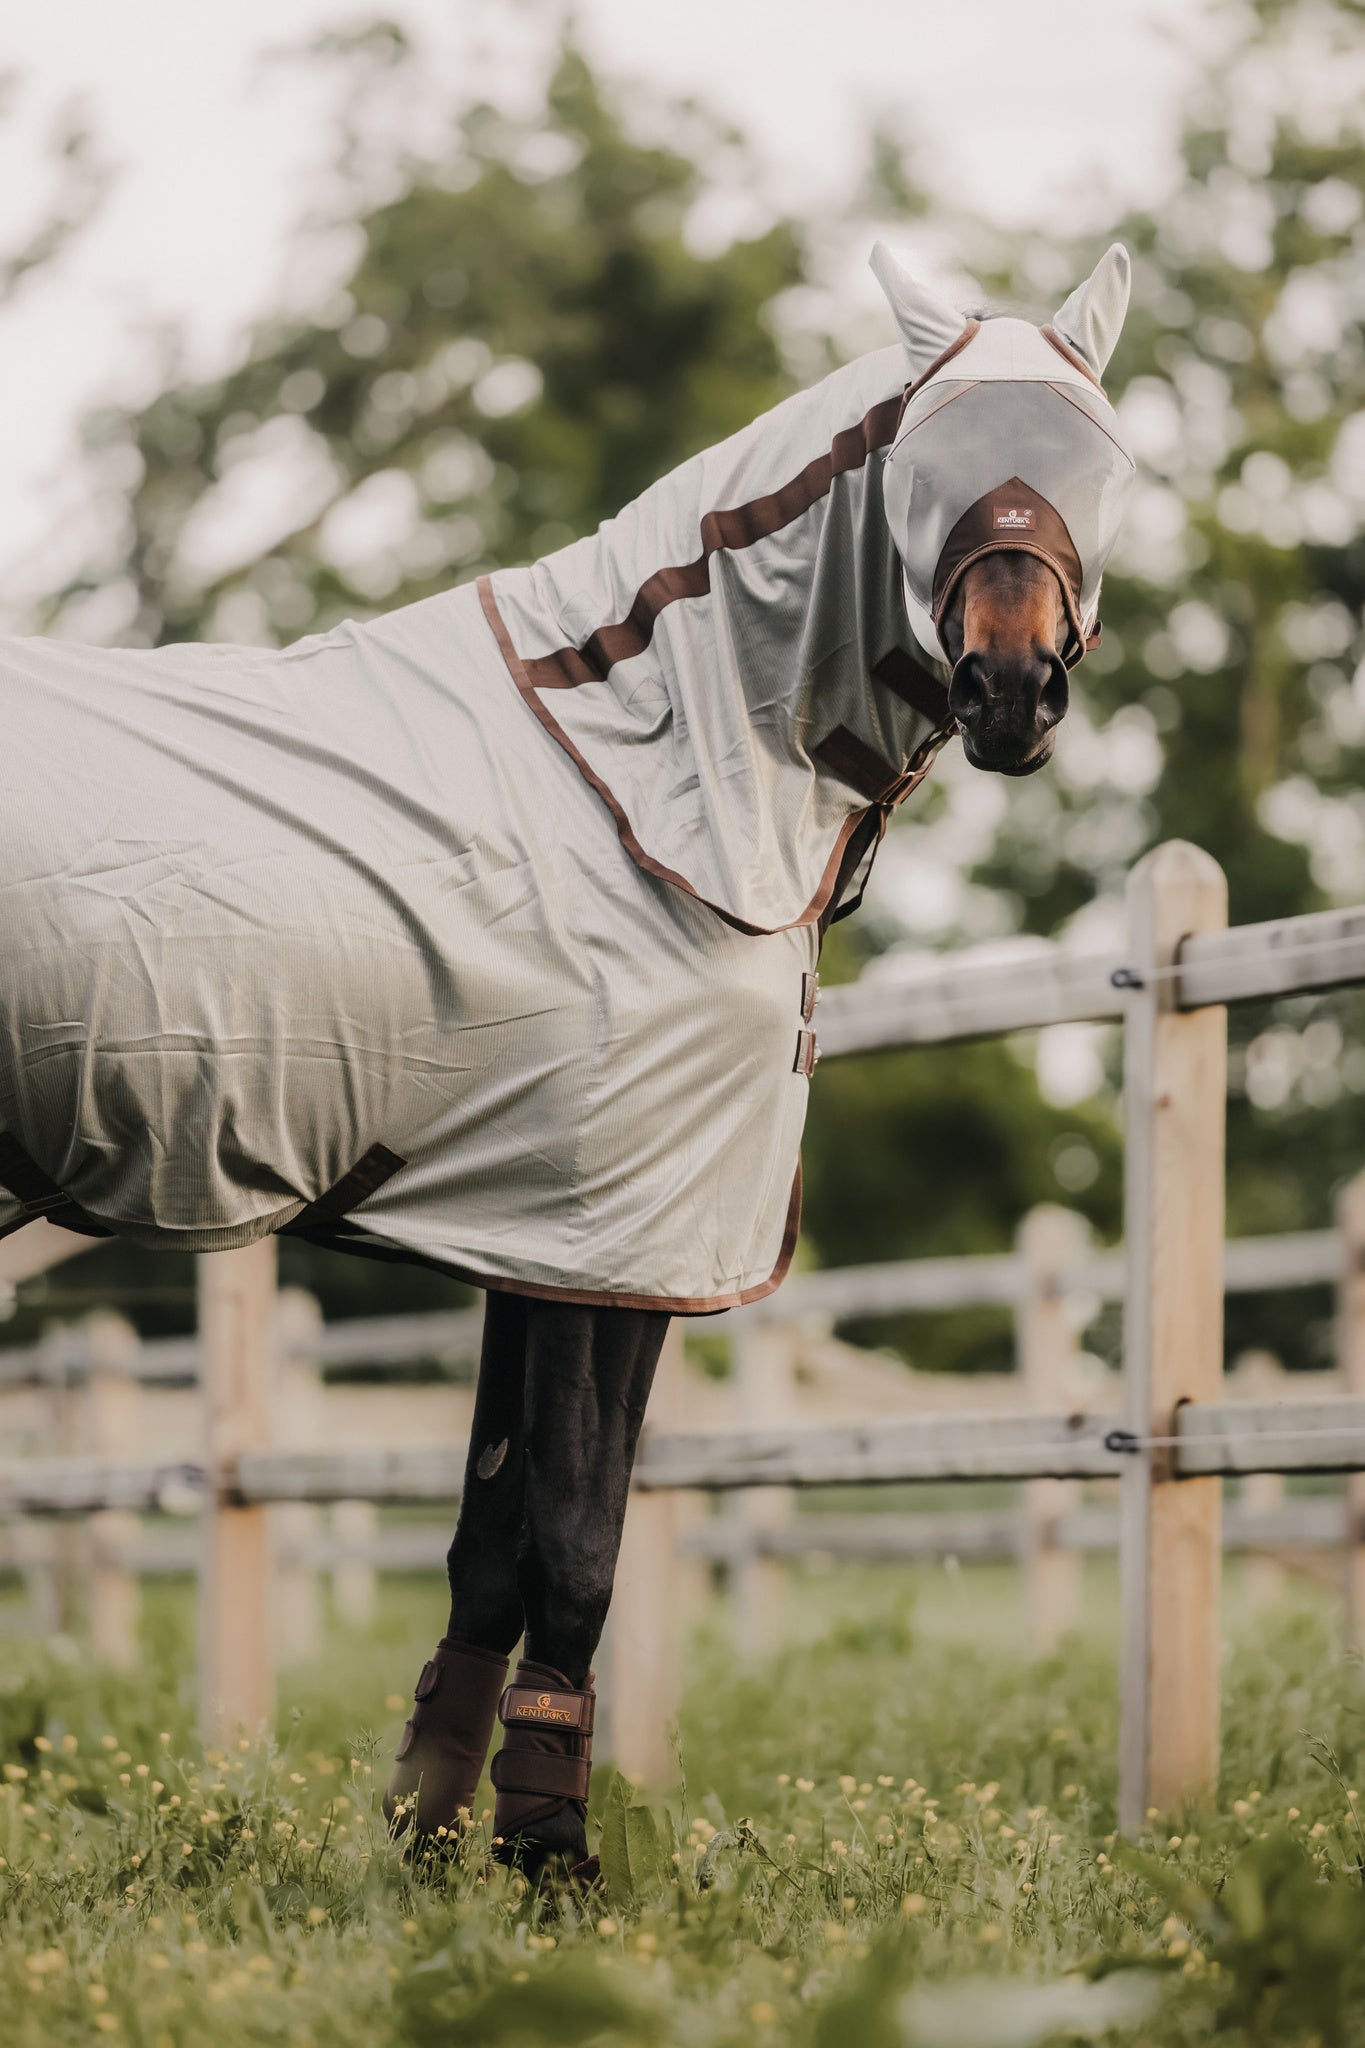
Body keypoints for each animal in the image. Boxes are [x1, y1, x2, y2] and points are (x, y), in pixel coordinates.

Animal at [0, 241, 1134, 1877]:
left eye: (1104, 461)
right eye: (928, 460)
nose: (1010, 689)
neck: (643, 770)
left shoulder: (527, 1231)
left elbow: (492, 1546)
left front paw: (425, 1846)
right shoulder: (620, 1240)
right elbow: (583, 1542)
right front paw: (553, 1862)